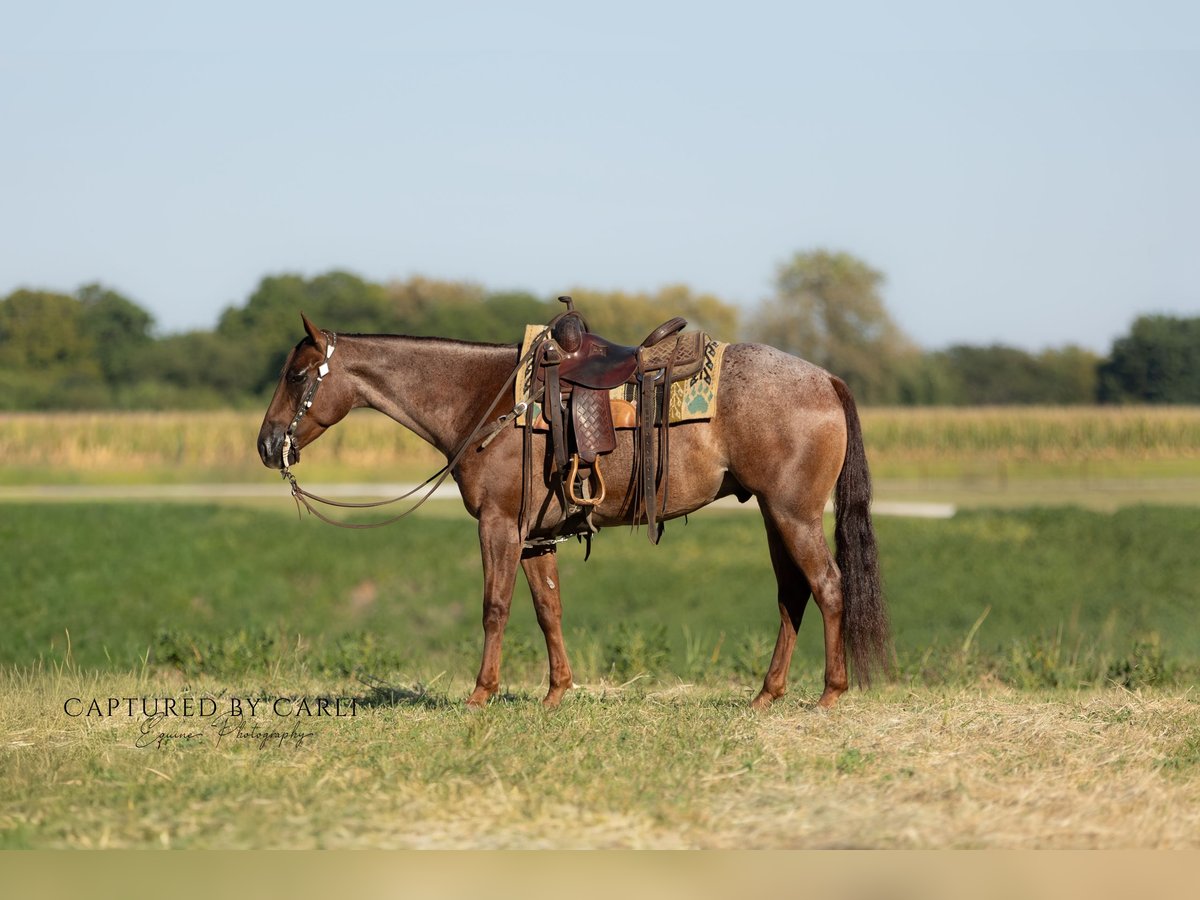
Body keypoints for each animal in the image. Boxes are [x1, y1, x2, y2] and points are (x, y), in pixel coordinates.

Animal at [257, 313, 891, 710]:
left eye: (295, 374)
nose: (267, 445)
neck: (484, 398)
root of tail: (826, 379)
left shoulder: (498, 526)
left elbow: (495, 608)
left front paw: (481, 694)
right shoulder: (535, 536)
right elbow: (548, 610)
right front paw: (557, 691)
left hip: (793, 513)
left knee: (828, 586)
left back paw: (830, 693)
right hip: (773, 513)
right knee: (793, 594)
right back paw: (767, 694)